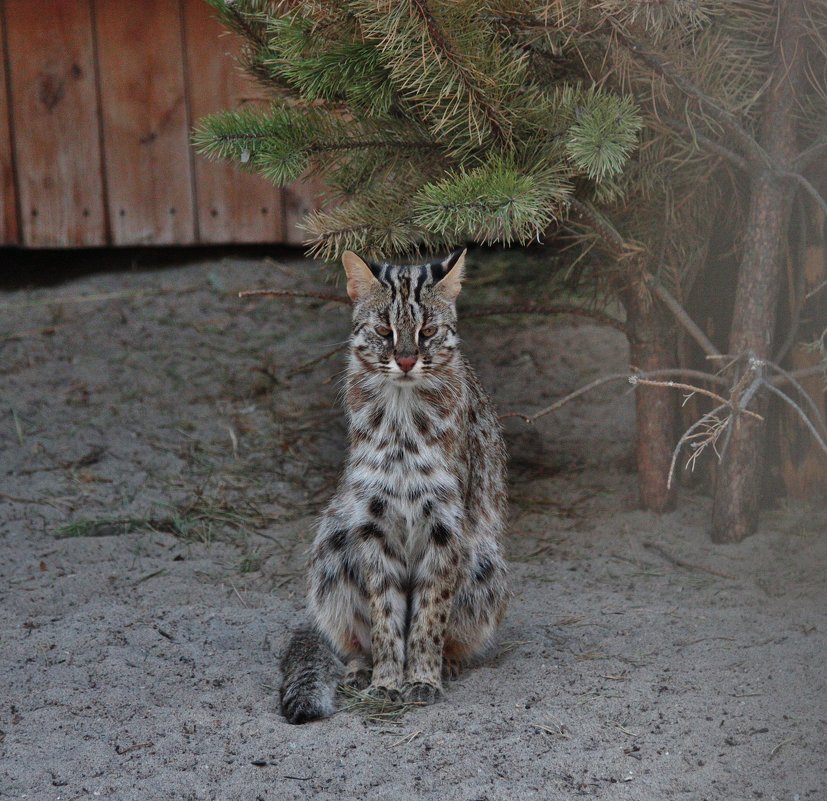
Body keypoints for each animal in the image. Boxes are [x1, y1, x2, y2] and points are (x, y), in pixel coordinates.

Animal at [282, 250, 508, 724]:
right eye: (385, 331)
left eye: (428, 332)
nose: (405, 361)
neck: (401, 414)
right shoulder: (371, 515)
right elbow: (384, 612)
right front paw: (387, 681)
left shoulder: (446, 521)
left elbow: (430, 612)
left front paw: (422, 678)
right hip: (332, 538)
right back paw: (360, 669)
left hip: (486, 559)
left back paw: (448, 663)